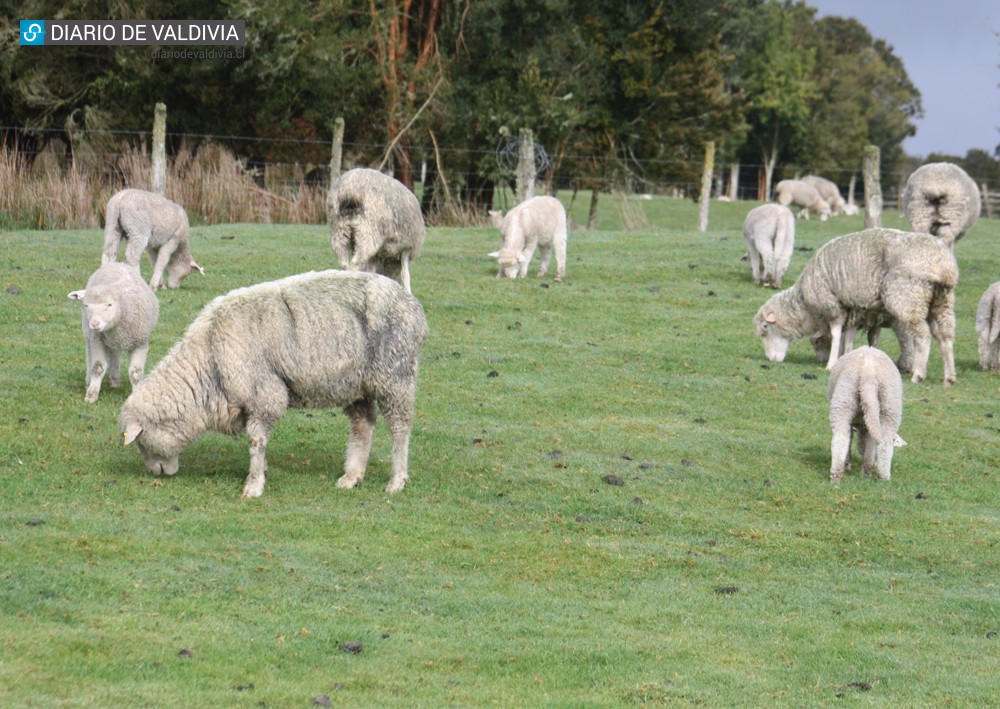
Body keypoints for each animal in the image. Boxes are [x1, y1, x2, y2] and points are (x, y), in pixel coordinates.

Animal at [68, 262, 160, 404]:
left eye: (109, 304)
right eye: (86, 305)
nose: (94, 324)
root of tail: (115, 263)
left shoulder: (141, 342)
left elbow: (135, 373)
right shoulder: (97, 340)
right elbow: (98, 367)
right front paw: (91, 395)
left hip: (118, 341)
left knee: (116, 354)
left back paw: (115, 380)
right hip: (90, 336)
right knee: (90, 357)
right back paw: (89, 381)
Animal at [119, 270, 428, 498]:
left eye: (141, 443)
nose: (156, 474)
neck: (208, 361)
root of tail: (412, 305)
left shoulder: (264, 394)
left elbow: (256, 441)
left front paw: (253, 485)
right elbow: (259, 442)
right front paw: (262, 472)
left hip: (394, 375)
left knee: (400, 427)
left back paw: (397, 480)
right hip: (355, 384)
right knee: (363, 426)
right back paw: (352, 477)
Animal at [756, 228, 960, 384]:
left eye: (765, 327)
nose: (769, 359)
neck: (806, 306)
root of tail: (943, 265)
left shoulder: (833, 306)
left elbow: (837, 335)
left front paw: (831, 364)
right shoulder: (855, 310)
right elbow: (850, 338)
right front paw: (847, 358)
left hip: (908, 299)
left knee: (923, 337)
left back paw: (918, 374)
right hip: (942, 303)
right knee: (945, 336)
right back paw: (949, 377)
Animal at [828, 348, 908, 484]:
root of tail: (868, 376)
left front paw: (850, 465)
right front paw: (866, 470)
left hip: (844, 401)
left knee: (841, 438)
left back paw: (837, 475)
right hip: (889, 408)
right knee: (885, 444)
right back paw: (884, 477)